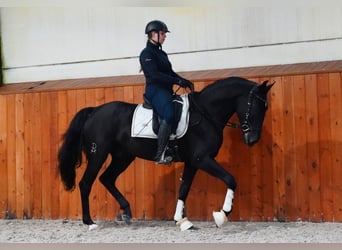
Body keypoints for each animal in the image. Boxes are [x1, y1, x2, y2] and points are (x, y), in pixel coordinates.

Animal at [58, 76, 272, 230]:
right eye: (257, 107)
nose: (253, 139)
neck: (205, 114)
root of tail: (94, 111)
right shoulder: (202, 159)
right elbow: (230, 179)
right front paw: (222, 214)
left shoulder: (193, 162)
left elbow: (184, 188)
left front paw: (181, 221)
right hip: (98, 154)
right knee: (86, 183)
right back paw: (89, 222)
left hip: (123, 157)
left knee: (107, 179)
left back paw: (126, 212)